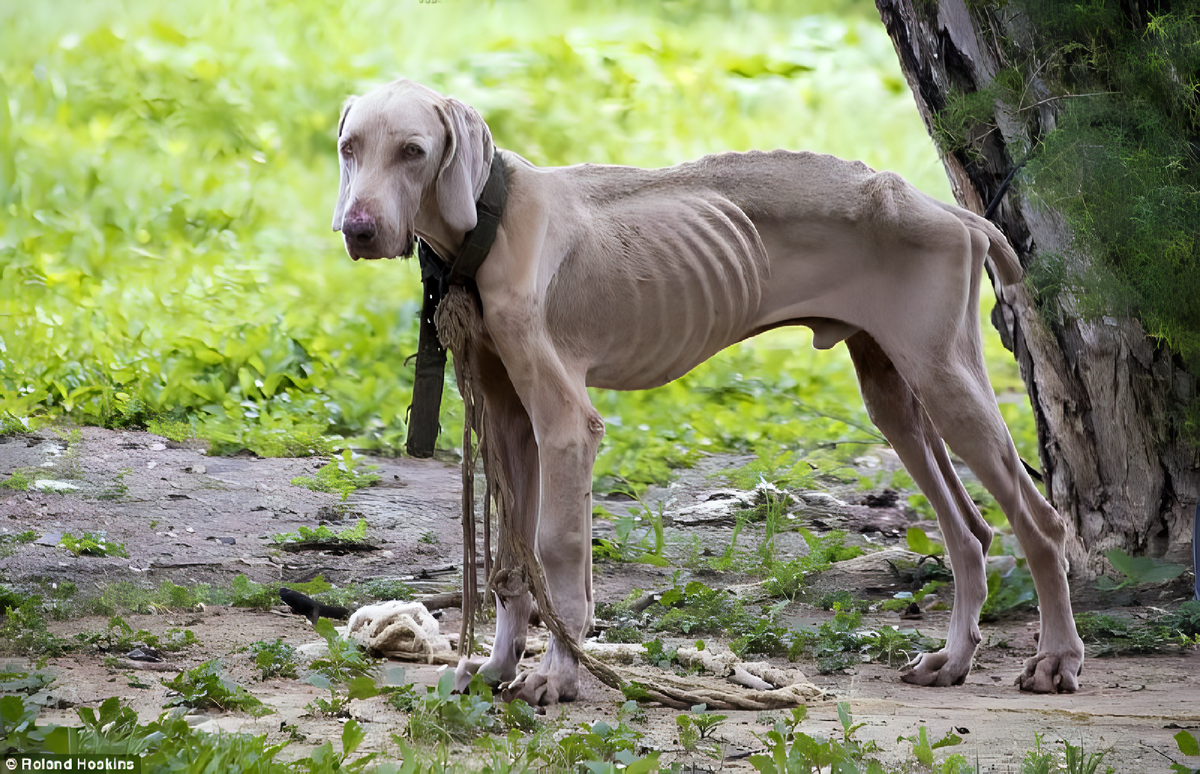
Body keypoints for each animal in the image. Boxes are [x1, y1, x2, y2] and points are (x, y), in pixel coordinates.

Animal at [333, 79, 1084, 705]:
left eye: (413, 151)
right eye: (349, 148)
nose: (357, 229)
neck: (490, 222)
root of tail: (957, 215)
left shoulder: (567, 423)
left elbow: (558, 548)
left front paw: (558, 674)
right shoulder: (507, 420)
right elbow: (514, 560)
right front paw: (496, 666)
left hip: (945, 379)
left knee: (1041, 523)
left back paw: (1056, 659)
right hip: (895, 393)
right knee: (970, 532)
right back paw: (953, 659)